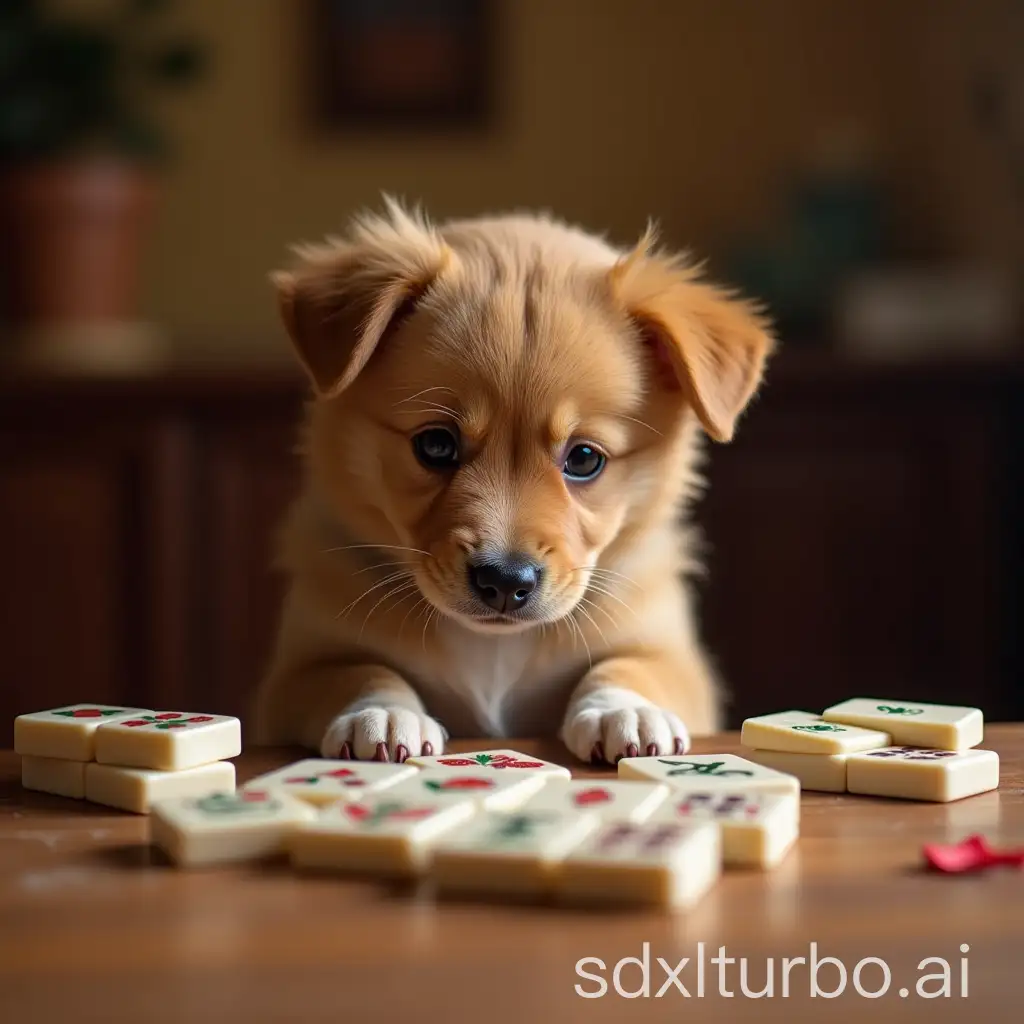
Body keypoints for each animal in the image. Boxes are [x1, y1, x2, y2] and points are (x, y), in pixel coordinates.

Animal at [251, 197, 770, 770]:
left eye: (584, 458)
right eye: (436, 445)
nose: (504, 581)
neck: (494, 649)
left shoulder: (672, 656)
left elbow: (634, 666)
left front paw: (625, 709)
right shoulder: (296, 671)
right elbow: (354, 672)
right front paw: (382, 712)